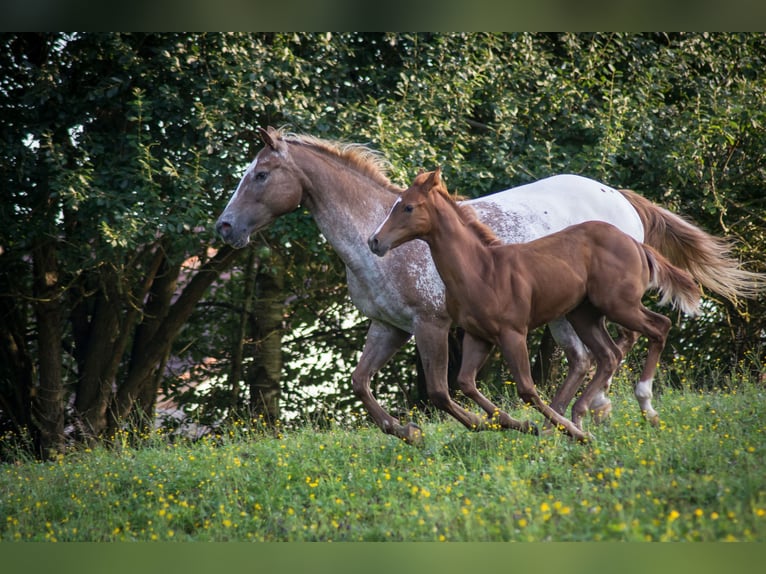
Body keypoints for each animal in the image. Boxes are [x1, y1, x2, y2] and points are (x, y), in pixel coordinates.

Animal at [368, 170, 704, 440]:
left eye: (408, 207)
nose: (374, 241)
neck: (481, 269)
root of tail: (635, 242)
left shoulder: (513, 333)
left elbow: (527, 390)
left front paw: (566, 433)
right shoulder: (479, 336)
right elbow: (465, 383)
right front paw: (519, 425)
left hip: (619, 304)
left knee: (659, 327)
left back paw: (644, 406)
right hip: (584, 314)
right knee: (609, 355)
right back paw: (582, 413)